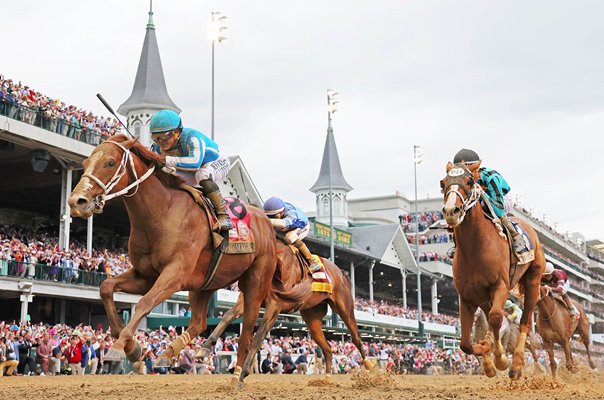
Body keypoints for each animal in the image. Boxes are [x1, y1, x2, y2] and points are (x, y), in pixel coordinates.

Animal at [69, 134, 306, 384]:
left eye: (110, 163)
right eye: (85, 163)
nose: (77, 201)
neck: (163, 212)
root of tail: (269, 226)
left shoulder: (176, 274)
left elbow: (144, 303)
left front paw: (119, 347)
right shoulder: (145, 275)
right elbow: (106, 287)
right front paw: (133, 349)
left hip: (255, 283)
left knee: (249, 327)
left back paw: (237, 374)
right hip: (204, 284)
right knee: (200, 321)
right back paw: (170, 353)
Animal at [196, 242, 376, 386]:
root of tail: (341, 273)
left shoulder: (274, 306)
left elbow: (258, 337)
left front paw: (242, 374)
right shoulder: (248, 299)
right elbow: (227, 316)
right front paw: (204, 348)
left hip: (345, 307)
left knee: (356, 338)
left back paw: (371, 367)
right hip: (312, 317)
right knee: (327, 349)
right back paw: (326, 379)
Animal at [442, 161, 544, 380]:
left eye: (469, 181)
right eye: (442, 182)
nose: (451, 211)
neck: (474, 247)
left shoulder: (500, 286)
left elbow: (497, 318)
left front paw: (500, 359)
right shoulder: (467, 296)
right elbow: (466, 344)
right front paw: (487, 359)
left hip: (533, 281)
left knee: (524, 322)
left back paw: (516, 365)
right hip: (484, 298)